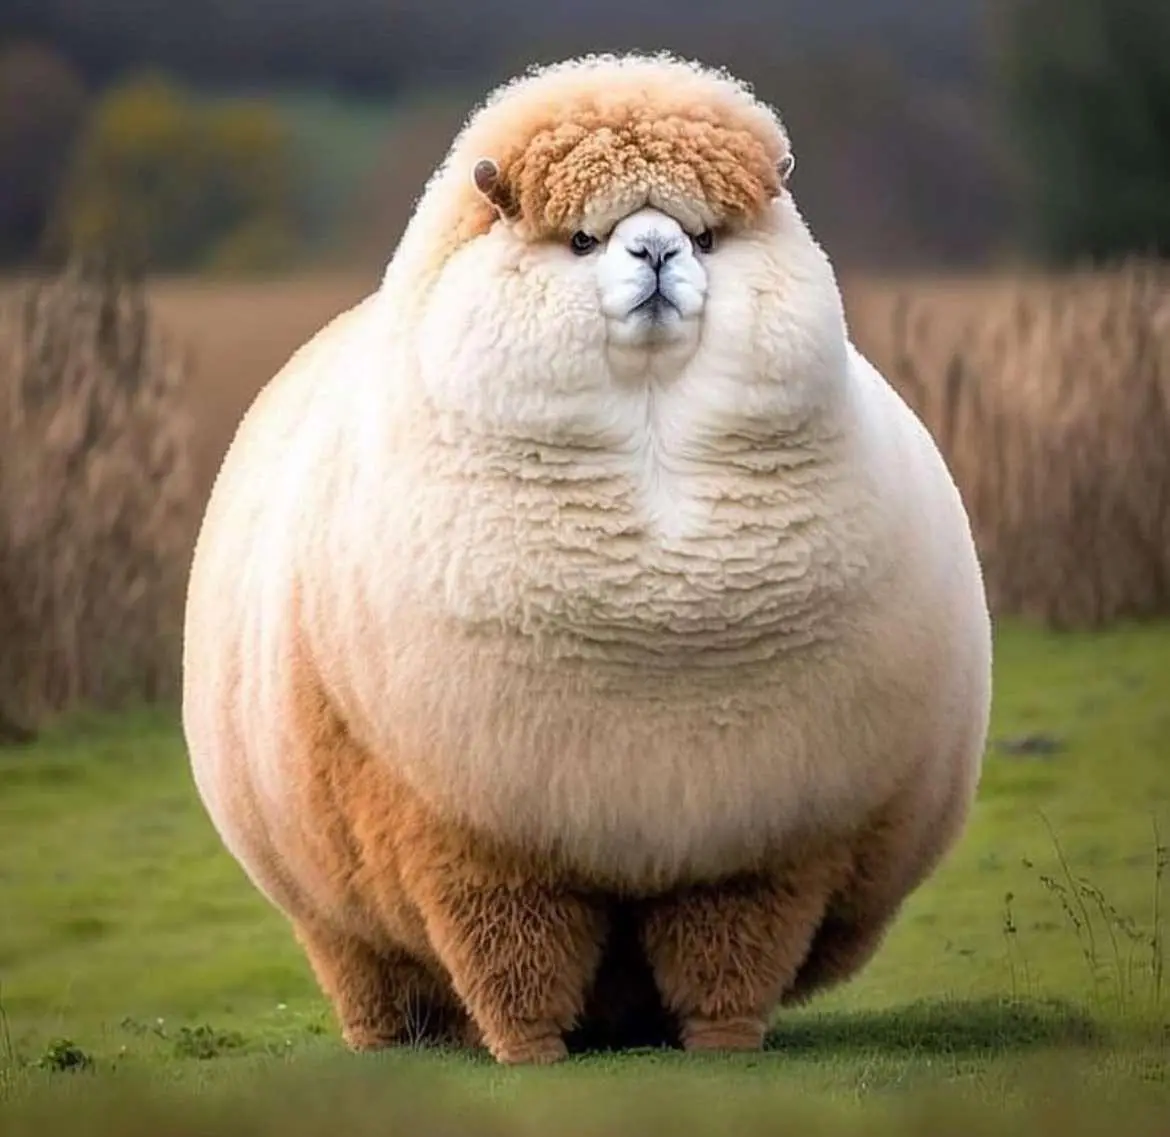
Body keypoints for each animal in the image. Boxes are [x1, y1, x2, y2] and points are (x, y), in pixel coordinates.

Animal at [181, 51, 993, 1066]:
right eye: (578, 241)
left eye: (707, 237)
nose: (657, 256)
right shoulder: (477, 840)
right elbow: (511, 961)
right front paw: (530, 1054)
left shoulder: (751, 843)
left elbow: (731, 957)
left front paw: (723, 1045)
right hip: (333, 906)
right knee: (366, 966)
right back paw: (385, 1041)